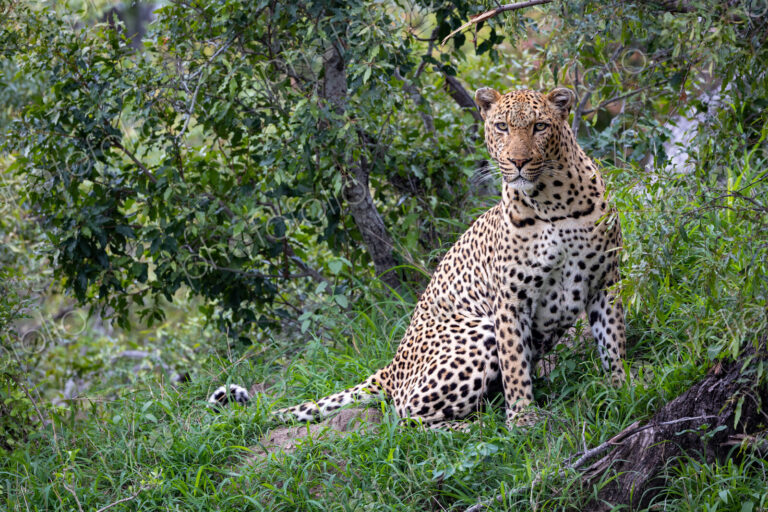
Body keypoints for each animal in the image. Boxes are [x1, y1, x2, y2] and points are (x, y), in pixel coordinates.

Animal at [209, 86, 627, 428]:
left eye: (540, 127)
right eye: (502, 127)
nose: (519, 162)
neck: (552, 203)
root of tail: (393, 365)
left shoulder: (606, 281)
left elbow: (613, 339)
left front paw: (623, 387)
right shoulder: (510, 302)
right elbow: (514, 367)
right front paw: (524, 421)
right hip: (478, 332)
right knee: (405, 415)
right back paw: (475, 428)